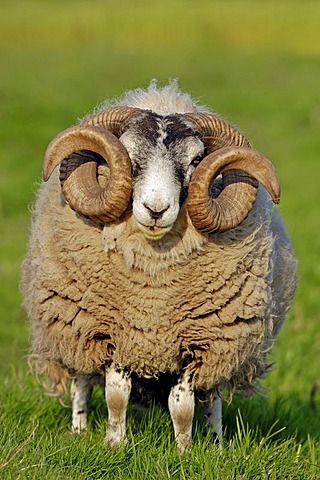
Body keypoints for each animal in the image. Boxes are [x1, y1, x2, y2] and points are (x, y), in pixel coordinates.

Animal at [21, 80, 298, 452]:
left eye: (196, 160)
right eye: (128, 153)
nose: (156, 209)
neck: (154, 296)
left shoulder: (199, 342)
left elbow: (182, 405)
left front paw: (184, 451)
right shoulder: (115, 333)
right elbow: (116, 396)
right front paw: (115, 444)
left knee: (212, 398)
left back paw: (215, 442)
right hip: (75, 326)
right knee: (81, 381)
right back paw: (79, 431)